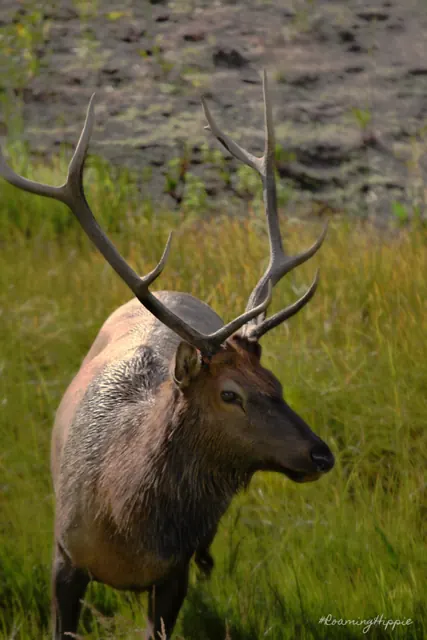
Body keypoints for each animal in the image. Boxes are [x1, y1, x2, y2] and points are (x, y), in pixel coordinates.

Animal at [0, 71, 334, 639]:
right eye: (230, 395)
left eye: (277, 383)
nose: (321, 454)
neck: (124, 527)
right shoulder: (64, 554)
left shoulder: (174, 575)